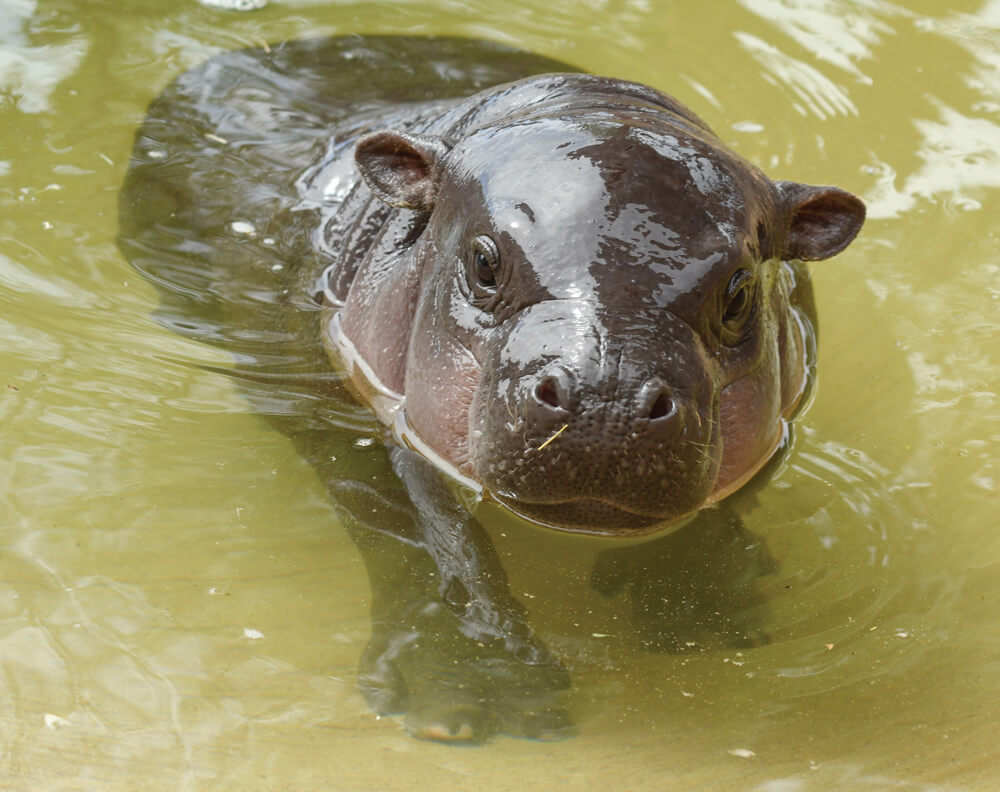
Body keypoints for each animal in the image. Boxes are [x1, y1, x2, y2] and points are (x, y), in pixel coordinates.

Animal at [118, 35, 864, 742]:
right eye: (483, 261)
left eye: (739, 291)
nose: (607, 396)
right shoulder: (344, 416)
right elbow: (417, 530)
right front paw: (468, 692)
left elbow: (729, 504)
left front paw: (699, 615)